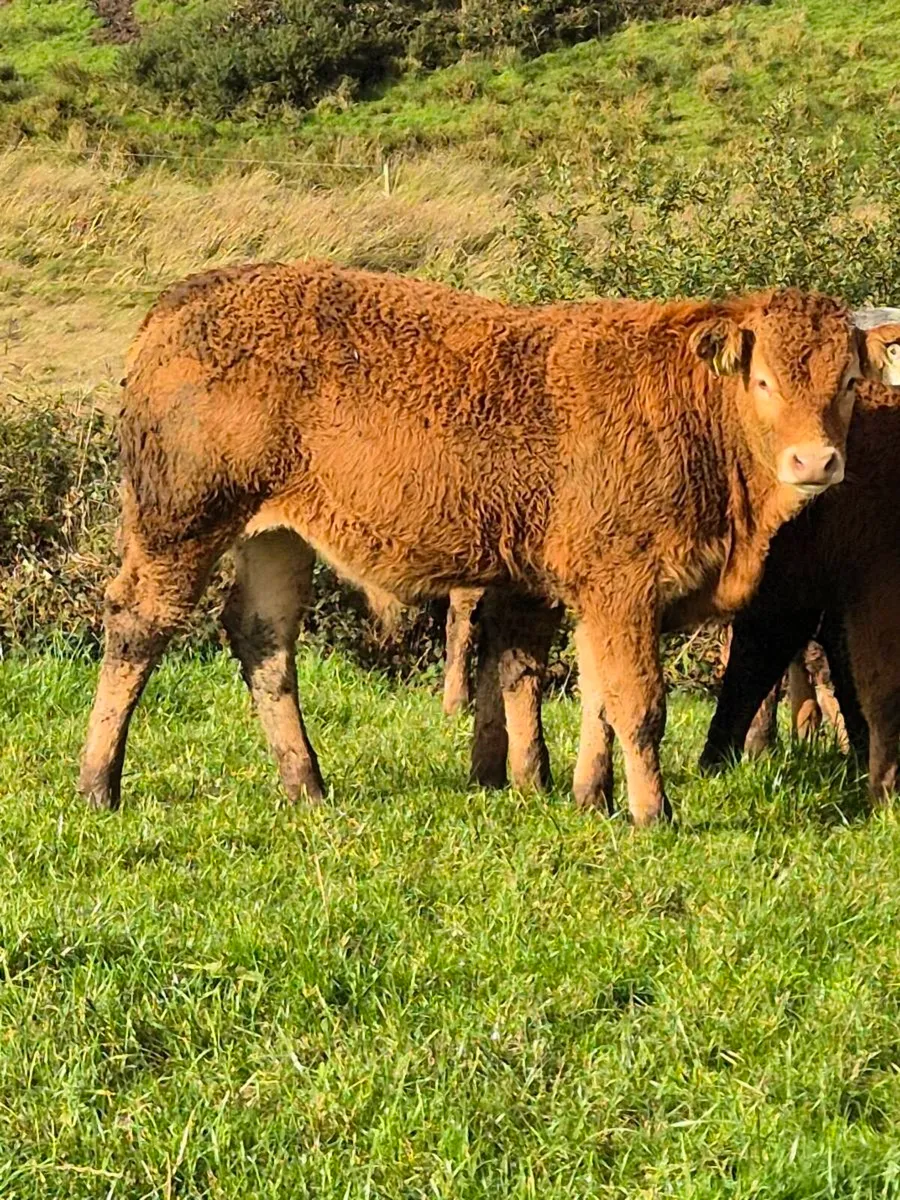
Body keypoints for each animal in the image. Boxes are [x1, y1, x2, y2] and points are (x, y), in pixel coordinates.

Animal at [79, 261, 883, 825]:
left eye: (847, 380)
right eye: (764, 379)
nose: (815, 461)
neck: (684, 405)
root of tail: (184, 299)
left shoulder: (590, 591)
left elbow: (593, 694)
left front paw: (588, 796)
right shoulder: (622, 586)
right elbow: (636, 702)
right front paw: (652, 812)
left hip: (276, 536)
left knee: (264, 642)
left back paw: (305, 784)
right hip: (180, 523)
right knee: (137, 627)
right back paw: (98, 782)